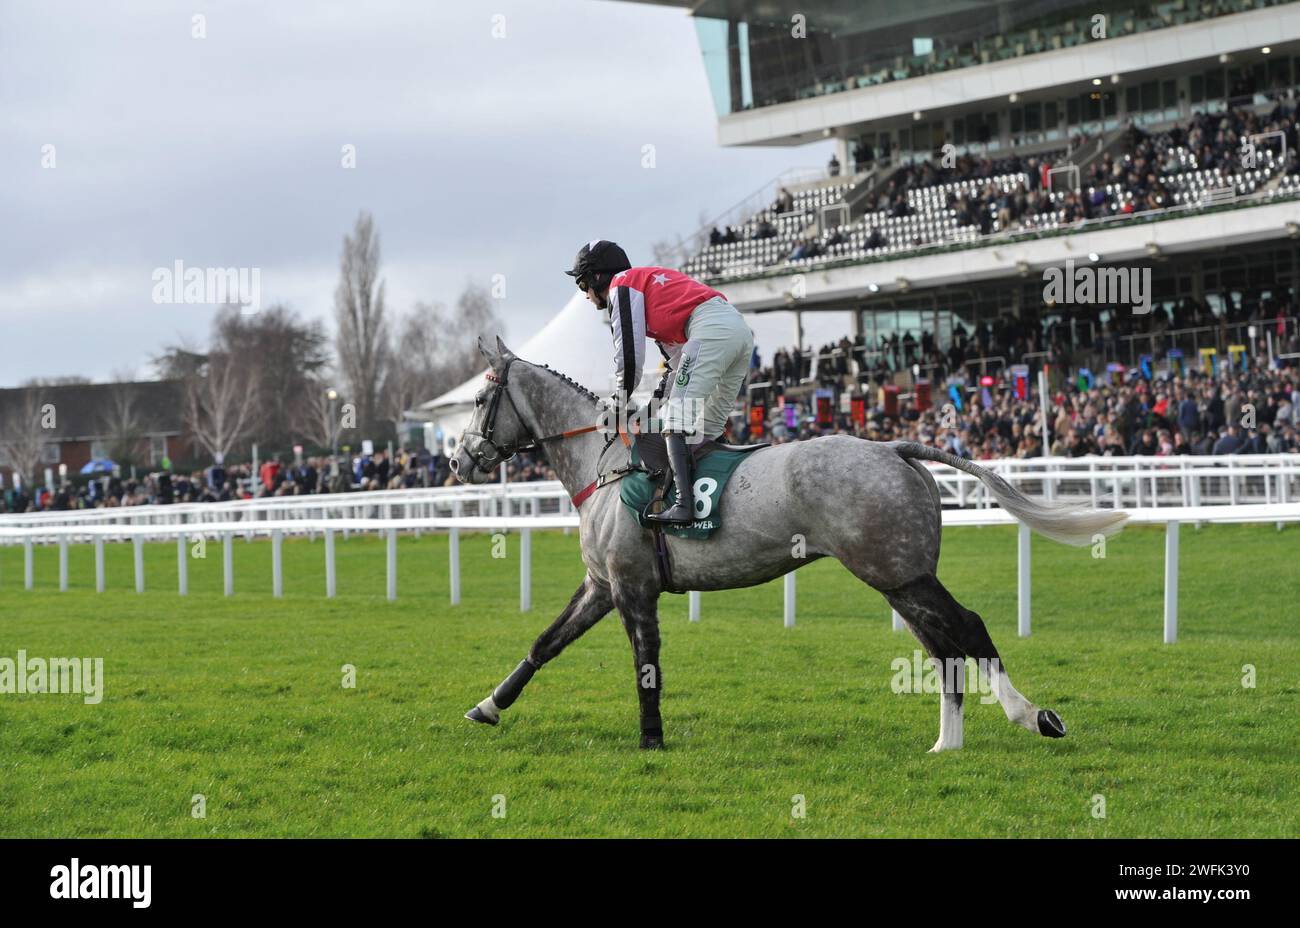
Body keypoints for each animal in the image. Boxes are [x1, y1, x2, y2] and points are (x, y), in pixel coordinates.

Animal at [454, 335, 1128, 748]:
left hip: (897, 573)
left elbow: (646, 664)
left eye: (482, 398)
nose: (458, 459)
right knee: (943, 649)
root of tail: (893, 446)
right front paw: (488, 705)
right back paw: (947, 743)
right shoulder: (602, 584)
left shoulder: (632, 587)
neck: (607, 463)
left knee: (968, 629)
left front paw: (651, 739)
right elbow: (544, 644)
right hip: (899, 578)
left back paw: (1032, 716)